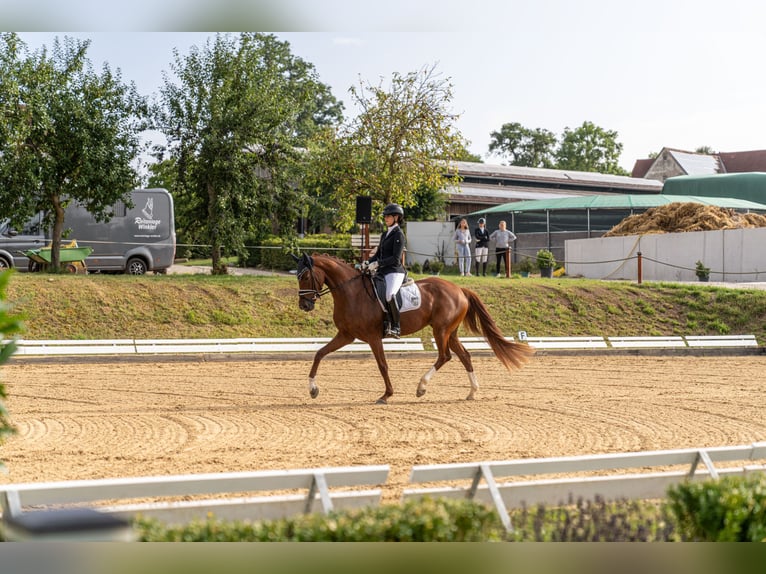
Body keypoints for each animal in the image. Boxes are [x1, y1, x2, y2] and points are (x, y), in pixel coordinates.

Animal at [294, 254, 536, 408]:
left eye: (305, 276)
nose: (304, 306)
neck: (351, 292)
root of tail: (459, 289)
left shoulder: (372, 337)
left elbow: (382, 365)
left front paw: (386, 395)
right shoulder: (346, 335)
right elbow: (319, 354)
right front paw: (313, 390)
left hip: (441, 330)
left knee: (445, 356)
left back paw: (421, 387)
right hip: (450, 332)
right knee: (464, 356)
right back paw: (472, 392)